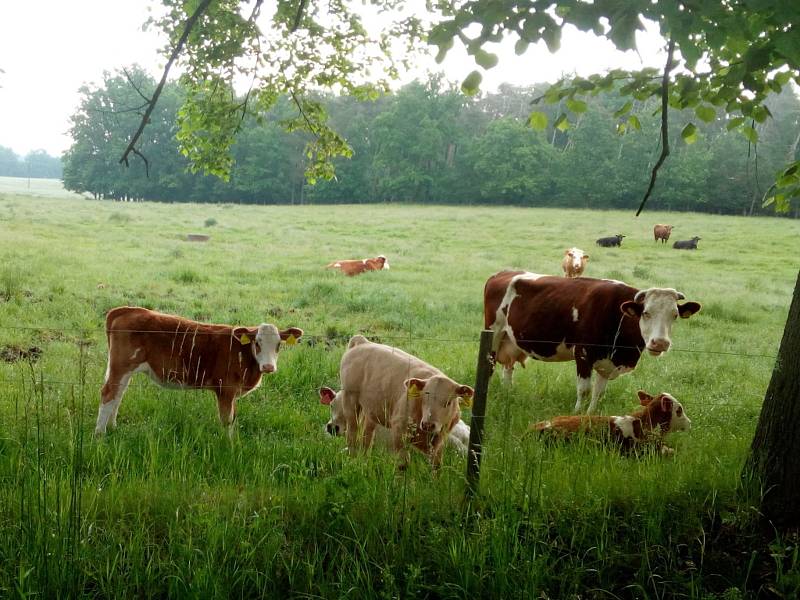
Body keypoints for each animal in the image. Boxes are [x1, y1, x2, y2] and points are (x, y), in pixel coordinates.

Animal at [94, 310, 304, 436]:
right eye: (257, 343)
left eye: (278, 345)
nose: (268, 367)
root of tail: (127, 309)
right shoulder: (226, 390)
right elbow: (227, 420)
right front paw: (228, 446)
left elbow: (233, 418)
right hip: (121, 366)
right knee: (108, 394)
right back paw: (99, 435)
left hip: (124, 370)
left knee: (118, 395)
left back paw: (112, 427)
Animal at [334, 332, 472, 468]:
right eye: (424, 398)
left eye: (448, 402)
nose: (428, 424)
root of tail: (363, 341)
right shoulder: (399, 430)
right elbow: (402, 463)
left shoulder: (440, 441)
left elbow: (436, 464)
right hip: (350, 401)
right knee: (352, 434)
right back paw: (352, 459)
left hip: (371, 410)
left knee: (367, 437)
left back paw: (364, 461)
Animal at [482, 274, 700, 414]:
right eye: (646, 313)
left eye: (674, 315)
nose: (660, 342)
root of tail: (502, 274)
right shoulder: (583, 354)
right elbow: (584, 390)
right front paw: (577, 414)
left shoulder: (607, 362)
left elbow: (598, 392)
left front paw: (590, 415)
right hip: (494, 333)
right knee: (489, 367)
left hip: (511, 340)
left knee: (508, 368)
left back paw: (508, 393)